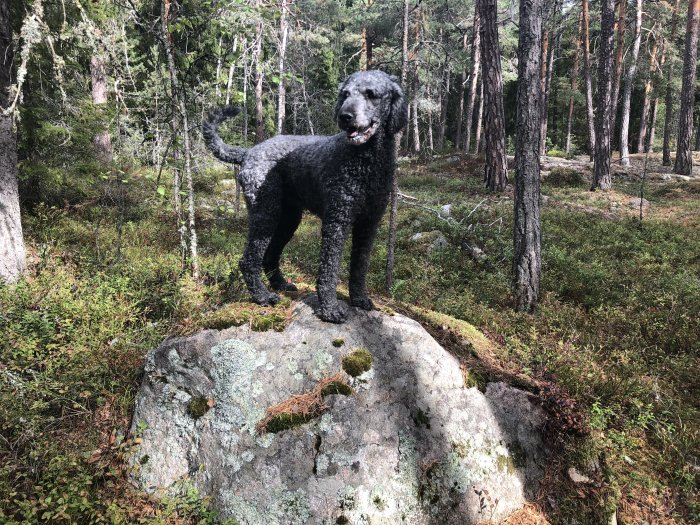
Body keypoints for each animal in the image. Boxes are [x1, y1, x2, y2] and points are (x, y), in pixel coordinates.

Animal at [202, 71, 408, 322]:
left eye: (371, 94)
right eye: (345, 94)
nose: (345, 116)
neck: (366, 161)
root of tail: (249, 151)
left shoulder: (368, 223)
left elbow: (360, 266)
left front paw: (359, 298)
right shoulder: (336, 221)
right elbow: (329, 269)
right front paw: (329, 308)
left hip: (288, 219)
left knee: (269, 255)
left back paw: (280, 284)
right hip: (266, 214)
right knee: (249, 260)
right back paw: (262, 296)